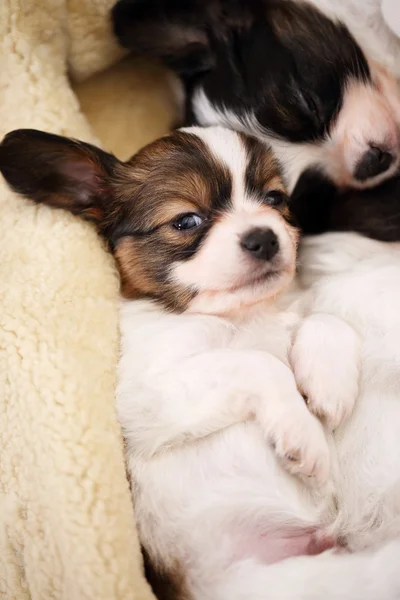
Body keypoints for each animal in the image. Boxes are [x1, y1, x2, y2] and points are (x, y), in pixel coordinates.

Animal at [0, 127, 400, 600]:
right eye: (186, 221)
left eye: (275, 199)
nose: (265, 237)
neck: (244, 315)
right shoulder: (146, 398)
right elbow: (258, 363)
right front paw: (304, 434)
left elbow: (325, 320)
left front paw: (329, 386)